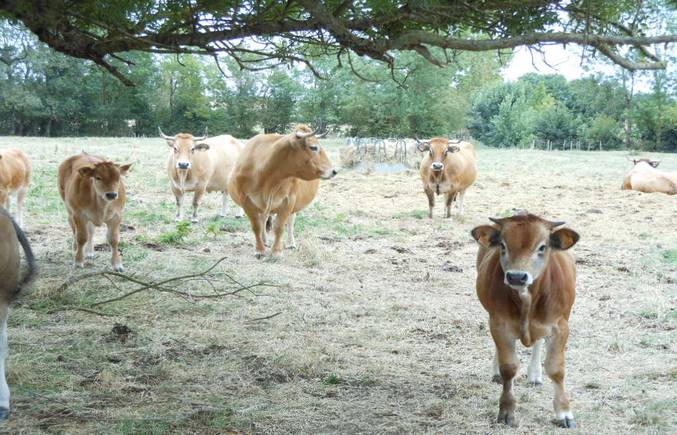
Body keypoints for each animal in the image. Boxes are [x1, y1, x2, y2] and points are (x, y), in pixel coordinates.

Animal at [228, 124, 336, 258]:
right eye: (313, 147)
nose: (334, 171)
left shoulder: (288, 200)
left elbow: (279, 227)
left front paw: (276, 251)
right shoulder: (245, 200)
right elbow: (256, 225)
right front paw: (259, 249)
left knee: (290, 221)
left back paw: (290, 243)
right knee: (263, 219)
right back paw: (265, 241)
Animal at [470, 214, 580, 430]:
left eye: (542, 246)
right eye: (502, 245)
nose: (517, 276)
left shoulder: (560, 326)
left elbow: (556, 370)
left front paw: (564, 412)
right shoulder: (499, 323)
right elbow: (508, 367)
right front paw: (506, 410)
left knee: (538, 342)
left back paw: (535, 375)